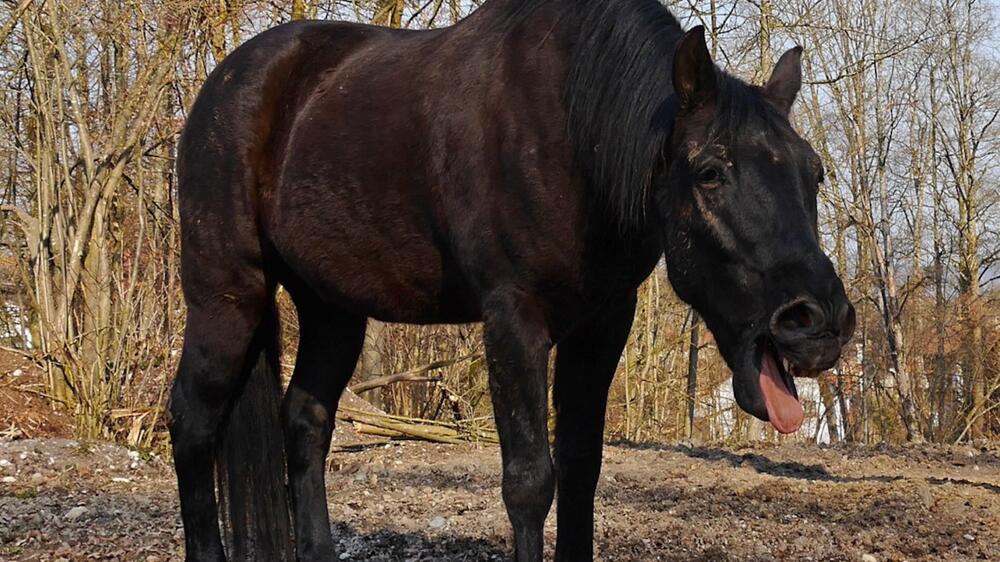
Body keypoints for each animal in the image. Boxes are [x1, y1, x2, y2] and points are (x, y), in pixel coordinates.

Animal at [168, 1, 856, 560]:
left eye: (814, 173)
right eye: (711, 172)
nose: (819, 321)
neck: (575, 132)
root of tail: (226, 83)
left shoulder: (601, 326)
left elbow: (581, 469)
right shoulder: (514, 323)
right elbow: (529, 482)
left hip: (332, 311)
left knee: (305, 423)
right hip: (227, 299)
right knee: (192, 423)